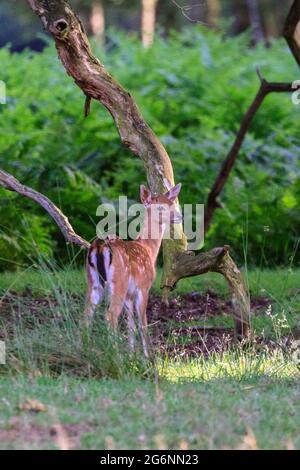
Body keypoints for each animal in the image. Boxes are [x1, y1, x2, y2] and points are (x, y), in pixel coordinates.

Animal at [84, 184, 183, 356]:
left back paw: (83, 349)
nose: (179, 215)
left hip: (93, 282)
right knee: (110, 315)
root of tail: (99, 247)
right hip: (118, 283)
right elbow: (142, 324)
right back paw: (115, 356)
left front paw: (132, 355)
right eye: (161, 207)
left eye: (172, 203)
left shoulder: (129, 295)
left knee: (87, 314)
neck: (148, 250)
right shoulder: (143, 287)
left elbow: (131, 326)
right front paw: (148, 357)